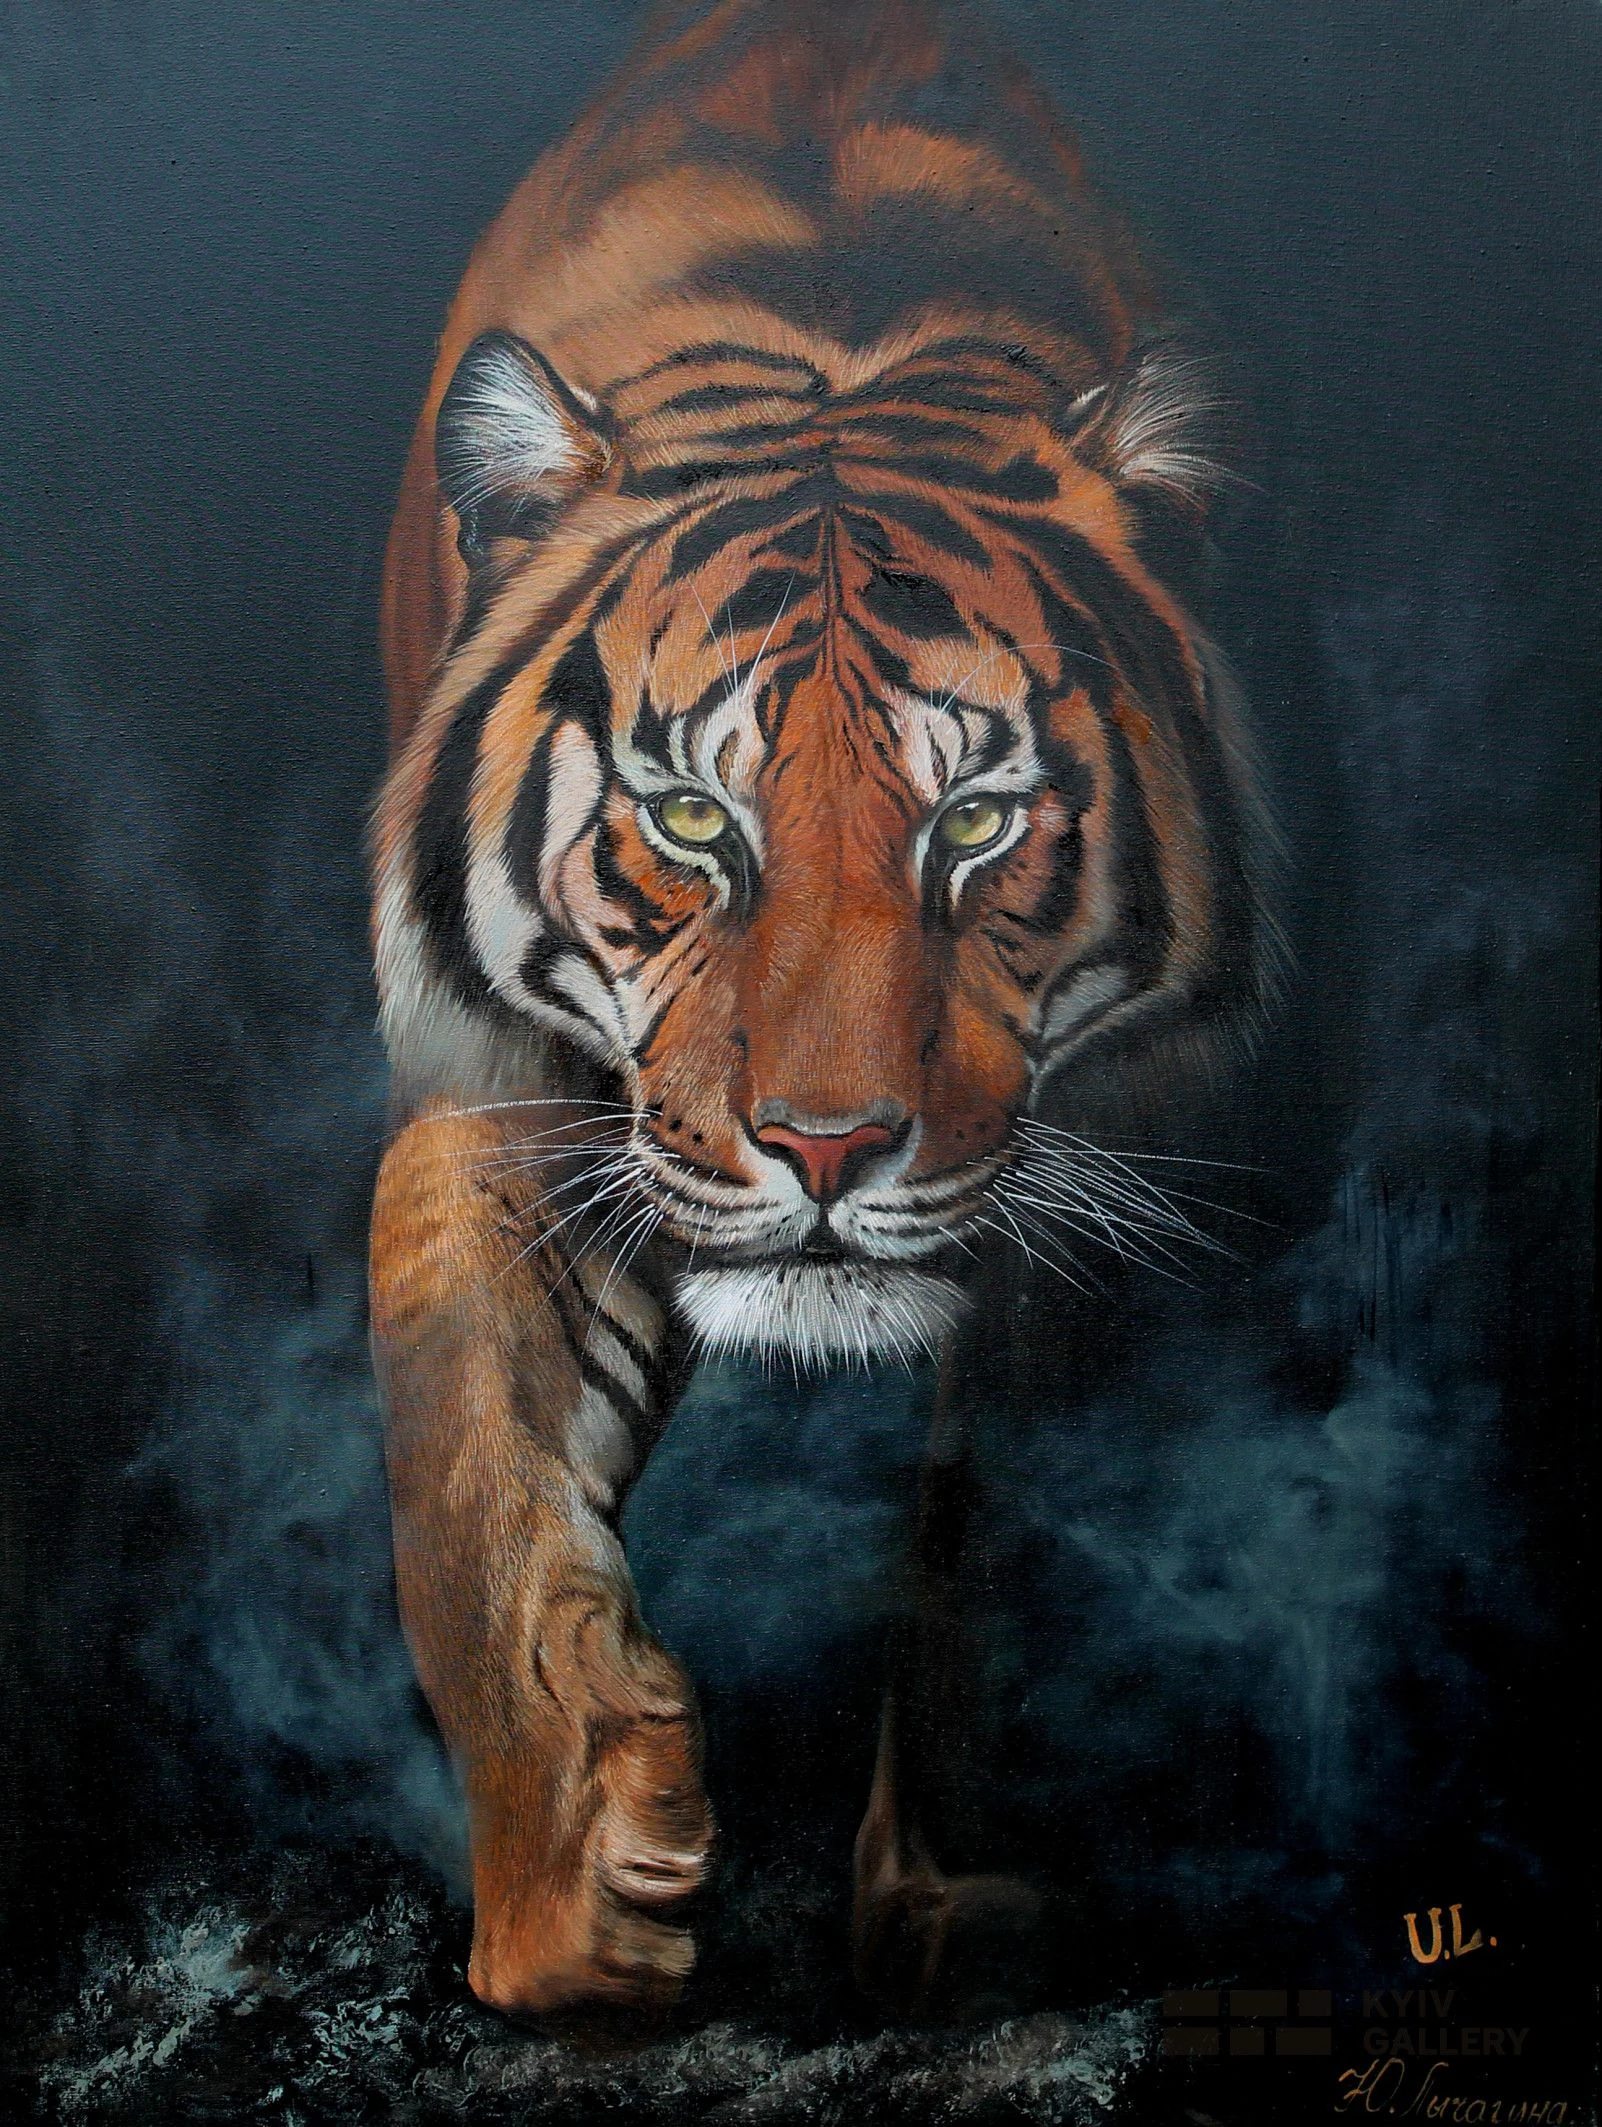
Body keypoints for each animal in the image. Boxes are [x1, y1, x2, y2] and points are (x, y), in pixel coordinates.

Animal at [369, 0, 1274, 2031]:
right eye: (695, 821)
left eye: (981, 820)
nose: (827, 1147)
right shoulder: (529, 1094)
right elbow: (461, 1442)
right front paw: (569, 1890)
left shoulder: (1122, 1160)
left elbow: (993, 1526)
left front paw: (948, 1906)